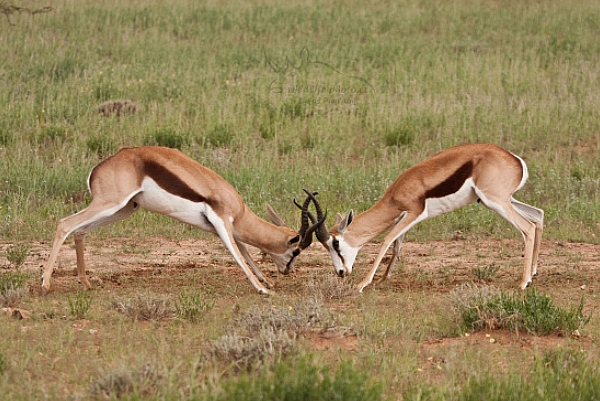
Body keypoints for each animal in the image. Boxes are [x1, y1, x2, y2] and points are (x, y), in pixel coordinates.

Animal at [41, 146, 324, 294]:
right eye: (296, 250)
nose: (289, 271)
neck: (238, 208)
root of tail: (98, 168)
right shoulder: (222, 222)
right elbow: (237, 255)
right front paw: (263, 289)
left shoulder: (223, 227)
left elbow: (244, 250)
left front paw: (267, 281)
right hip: (110, 204)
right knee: (65, 224)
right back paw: (45, 283)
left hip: (125, 209)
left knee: (80, 231)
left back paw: (86, 281)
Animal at [310, 143, 544, 290]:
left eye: (335, 243)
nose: (341, 272)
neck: (397, 193)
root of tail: (515, 160)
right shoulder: (404, 217)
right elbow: (397, 245)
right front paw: (383, 279)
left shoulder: (414, 213)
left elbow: (387, 240)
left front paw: (363, 284)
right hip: (503, 200)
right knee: (538, 216)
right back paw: (532, 274)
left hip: (496, 201)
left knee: (528, 227)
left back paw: (523, 283)